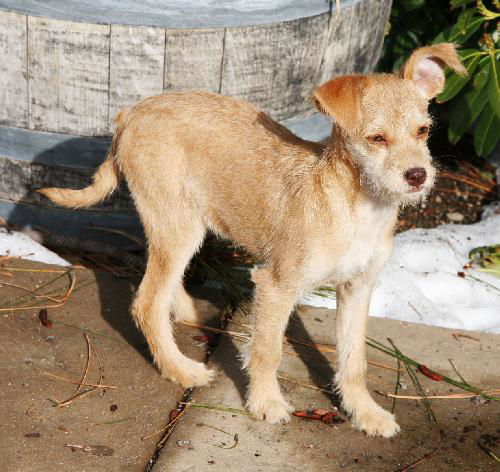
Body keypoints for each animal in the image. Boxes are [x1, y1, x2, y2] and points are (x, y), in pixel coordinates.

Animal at [40, 42, 464, 436]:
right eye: (377, 138)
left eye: (423, 131)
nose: (417, 176)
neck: (354, 205)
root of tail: (132, 112)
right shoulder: (275, 285)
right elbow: (267, 350)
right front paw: (265, 402)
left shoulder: (357, 288)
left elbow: (353, 358)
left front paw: (365, 413)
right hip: (179, 225)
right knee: (147, 303)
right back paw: (181, 369)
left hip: (178, 226)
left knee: (160, 280)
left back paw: (188, 312)